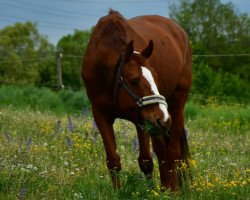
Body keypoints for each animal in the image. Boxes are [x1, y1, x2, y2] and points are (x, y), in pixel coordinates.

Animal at [82, 9, 191, 191]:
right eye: (134, 80)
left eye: (156, 78)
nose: (163, 118)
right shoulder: (100, 114)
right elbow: (113, 160)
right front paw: (117, 192)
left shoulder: (142, 118)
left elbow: (146, 160)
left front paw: (152, 190)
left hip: (175, 108)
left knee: (172, 151)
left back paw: (172, 189)